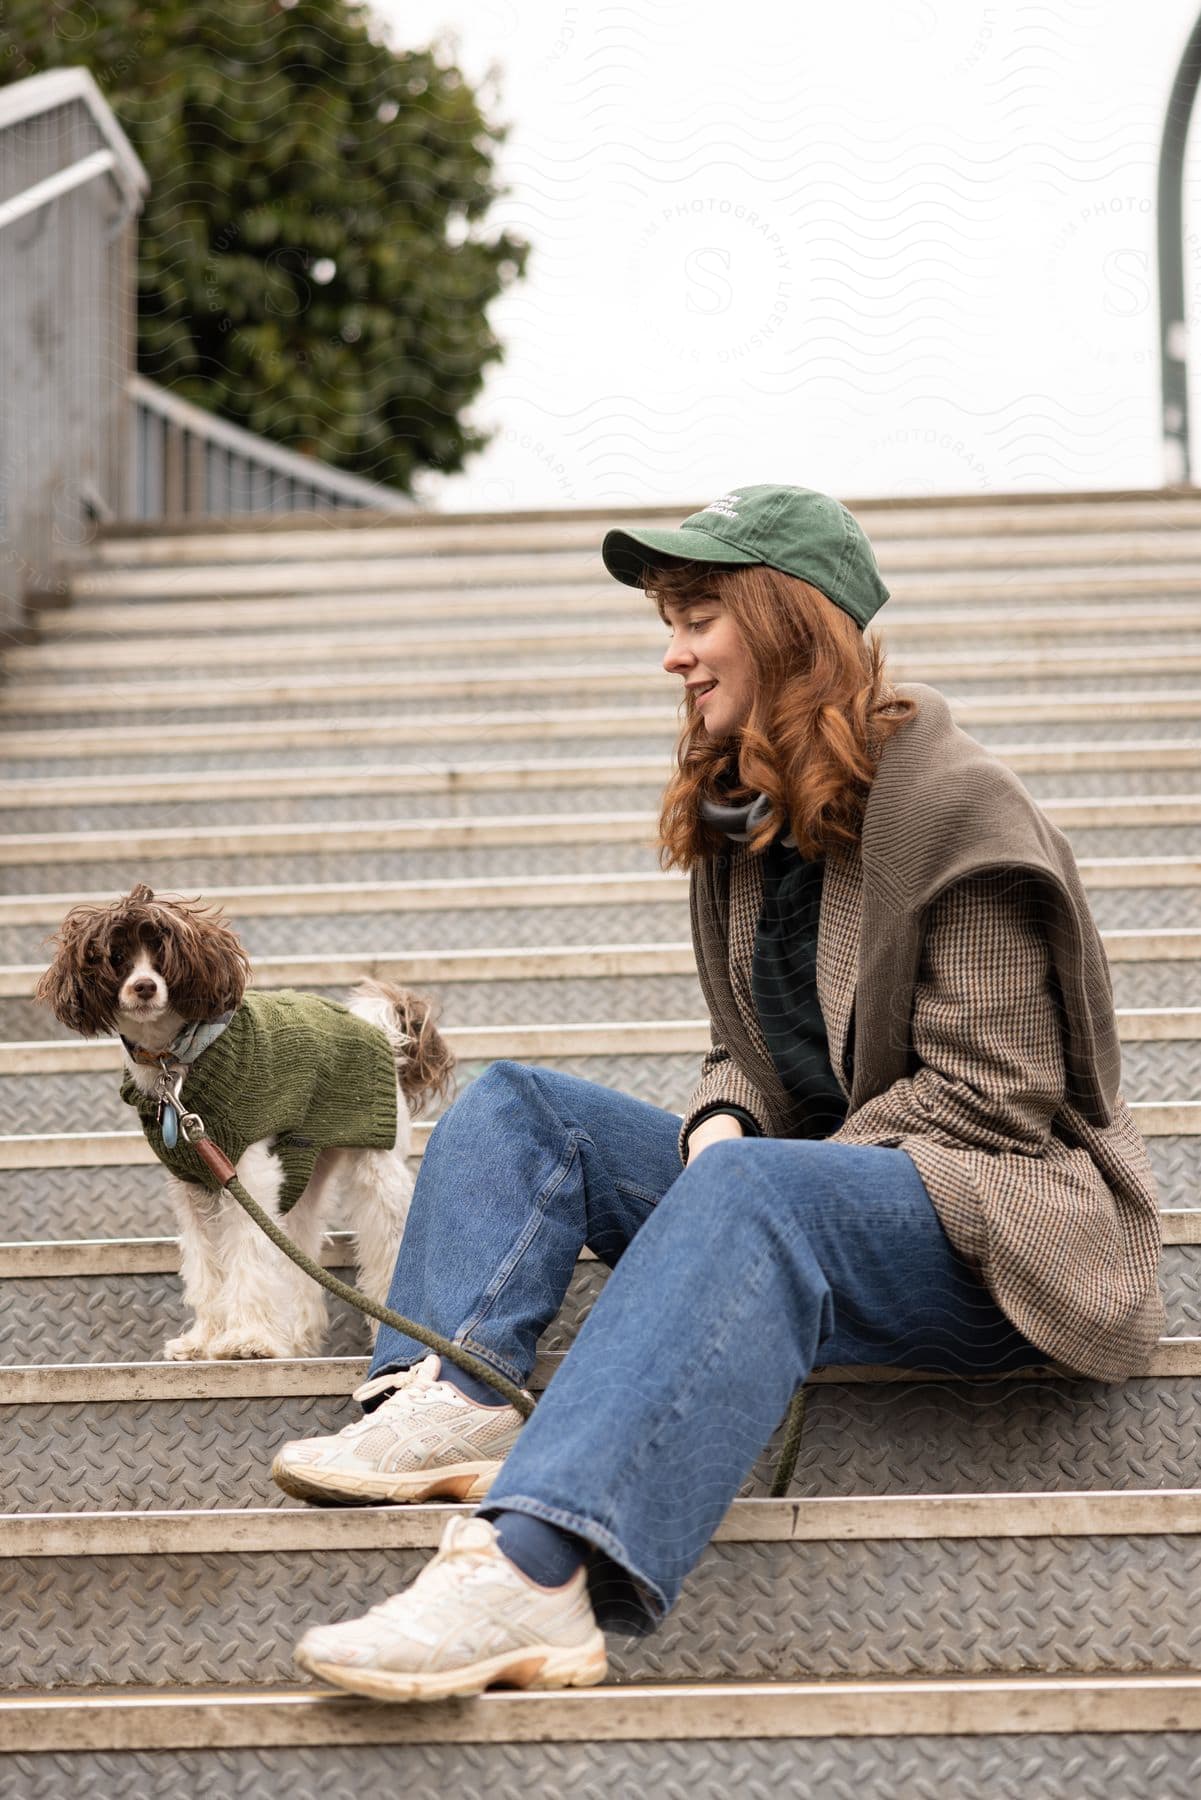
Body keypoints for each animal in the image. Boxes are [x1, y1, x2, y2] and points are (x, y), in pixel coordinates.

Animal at [36, 885, 455, 1360]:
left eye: (162, 952)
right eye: (117, 956)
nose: (144, 985)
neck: (175, 1062)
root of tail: (380, 1026)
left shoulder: (246, 1173)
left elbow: (248, 1256)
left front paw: (248, 1339)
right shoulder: (193, 1184)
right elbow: (207, 1266)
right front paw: (204, 1338)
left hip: (375, 1163)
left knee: (386, 1238)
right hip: (302, 1168)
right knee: (299, 1245)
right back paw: (298, 1335)